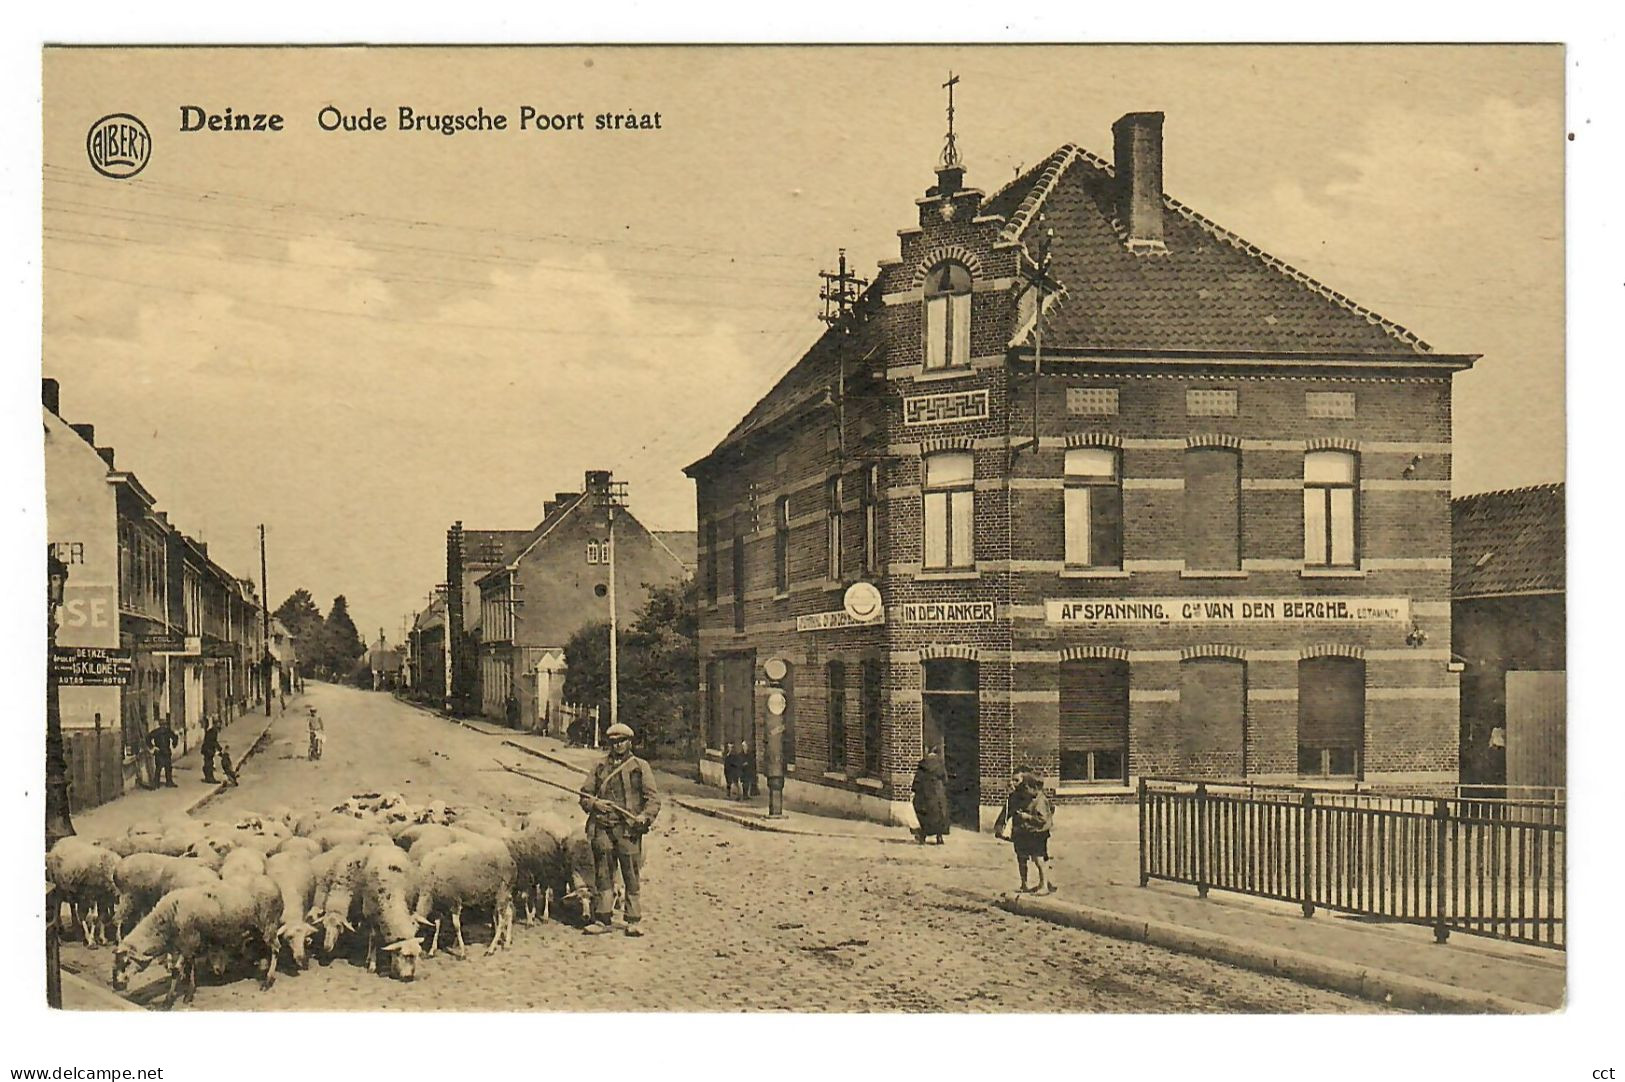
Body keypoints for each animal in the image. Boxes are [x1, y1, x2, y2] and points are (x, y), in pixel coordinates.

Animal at [359, 844, 425, 974]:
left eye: (417, 954)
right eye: (405, 955)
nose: (409, 976)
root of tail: (386, 846)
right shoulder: (370, 914)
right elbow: (373, 939)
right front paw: (372, 964)